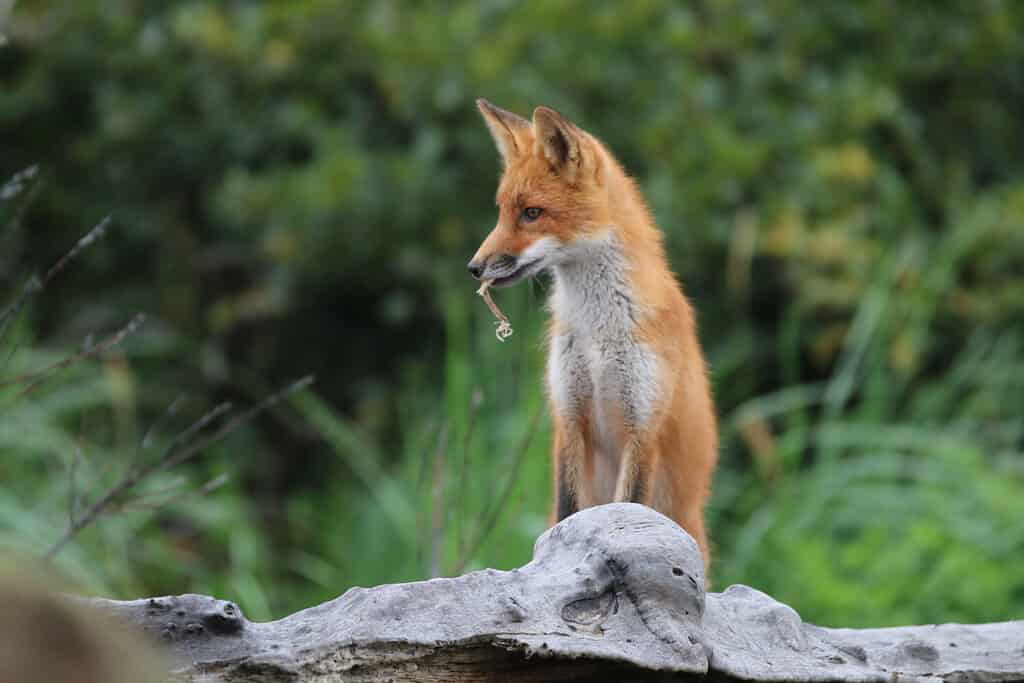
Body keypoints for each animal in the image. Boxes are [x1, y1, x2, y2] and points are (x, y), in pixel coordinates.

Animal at [468, 98, 716, 573]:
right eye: (502, 211)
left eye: (531, 213)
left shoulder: (643, 425)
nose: (474, 267)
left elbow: (627, 508)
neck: (599, 334)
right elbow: (568, 511)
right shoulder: (569, 414)